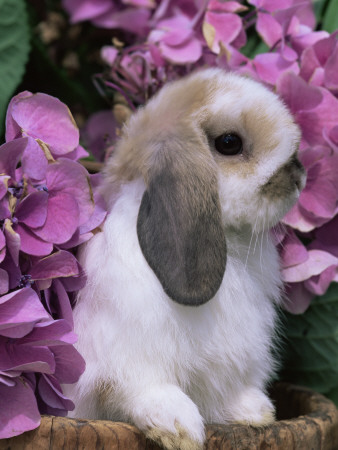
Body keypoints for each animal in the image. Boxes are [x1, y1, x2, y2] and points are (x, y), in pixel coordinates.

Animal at [63, 67, 306, 450]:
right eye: (229, 143)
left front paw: (255, 411)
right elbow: (147, 389)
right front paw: (178, 427)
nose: (298, 175)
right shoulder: (128, 360)